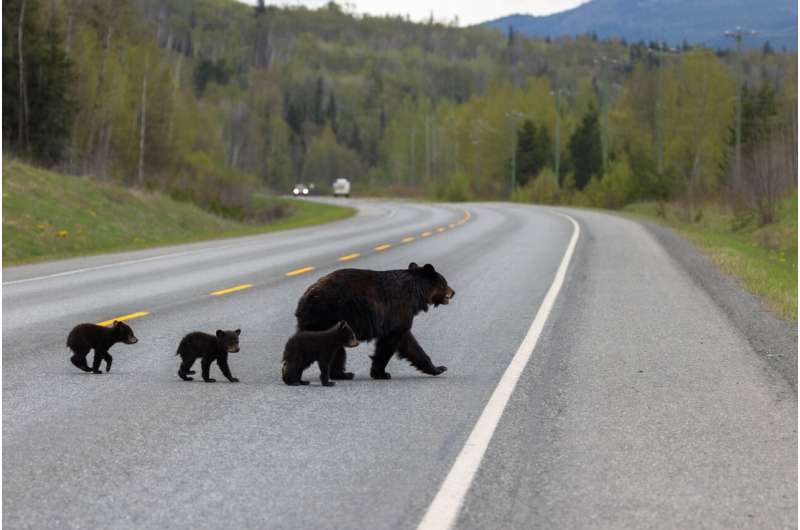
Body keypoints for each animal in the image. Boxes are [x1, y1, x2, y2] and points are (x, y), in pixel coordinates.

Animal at [296, 262, 456, 380]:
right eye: (445, 282)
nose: (453, 292)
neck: (415, 293)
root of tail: (305, 298)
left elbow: (409, 344)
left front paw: (438, 368)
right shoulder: (397, 311)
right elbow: (391, 340)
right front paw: (381, 373)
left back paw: (341, 374)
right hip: (328, 315)